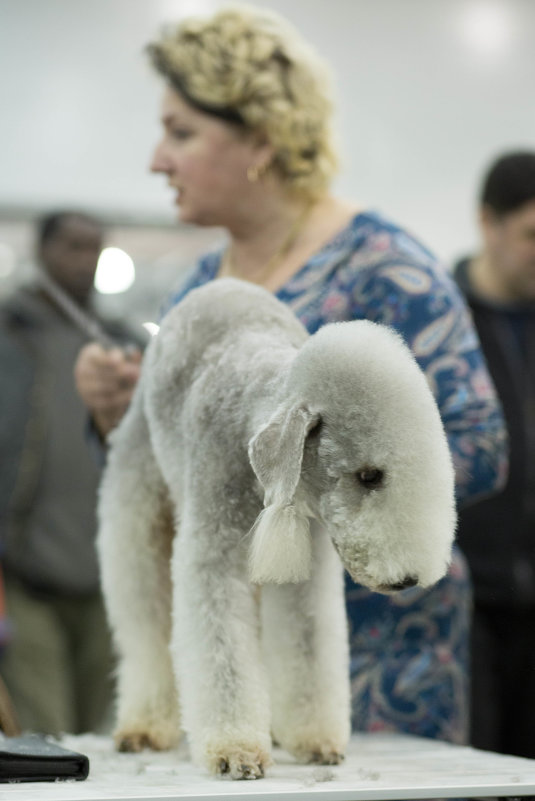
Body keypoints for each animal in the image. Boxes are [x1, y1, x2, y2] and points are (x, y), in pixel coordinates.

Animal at [96, 278, 456, 780]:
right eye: (369, 475)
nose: (407, 580)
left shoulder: (309, 563)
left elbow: (308, 646)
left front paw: (316, 740)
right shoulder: (213, 553)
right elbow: (222, 650)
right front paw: (235, 749)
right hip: (137, 516)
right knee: (145, 628)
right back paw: (144, 727)